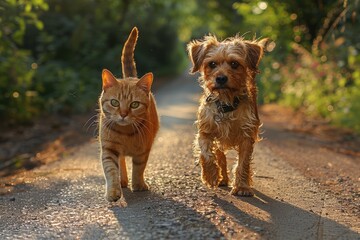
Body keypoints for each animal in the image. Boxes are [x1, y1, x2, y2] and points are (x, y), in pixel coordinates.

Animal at [99, 27, 160, 202]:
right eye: (115, 102)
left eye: (134, 104)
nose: (123, 114)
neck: (125, 134)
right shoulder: (109, 149)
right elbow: (111, 170)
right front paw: (113, 191)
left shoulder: (143, 150)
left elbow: (139, 168)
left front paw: (138, 185)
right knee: (121, 163)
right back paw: (122, 180)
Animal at [188, 34, 268, 195]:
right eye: (212, 64)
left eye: (234, 64)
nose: (221, 78)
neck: (226, 104)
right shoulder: (205, 132)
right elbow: (206, 154)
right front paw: (210, 176)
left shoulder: (246, 136)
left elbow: (243, 163)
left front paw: (242, 186)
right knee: (220, 157)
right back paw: (222, 178)